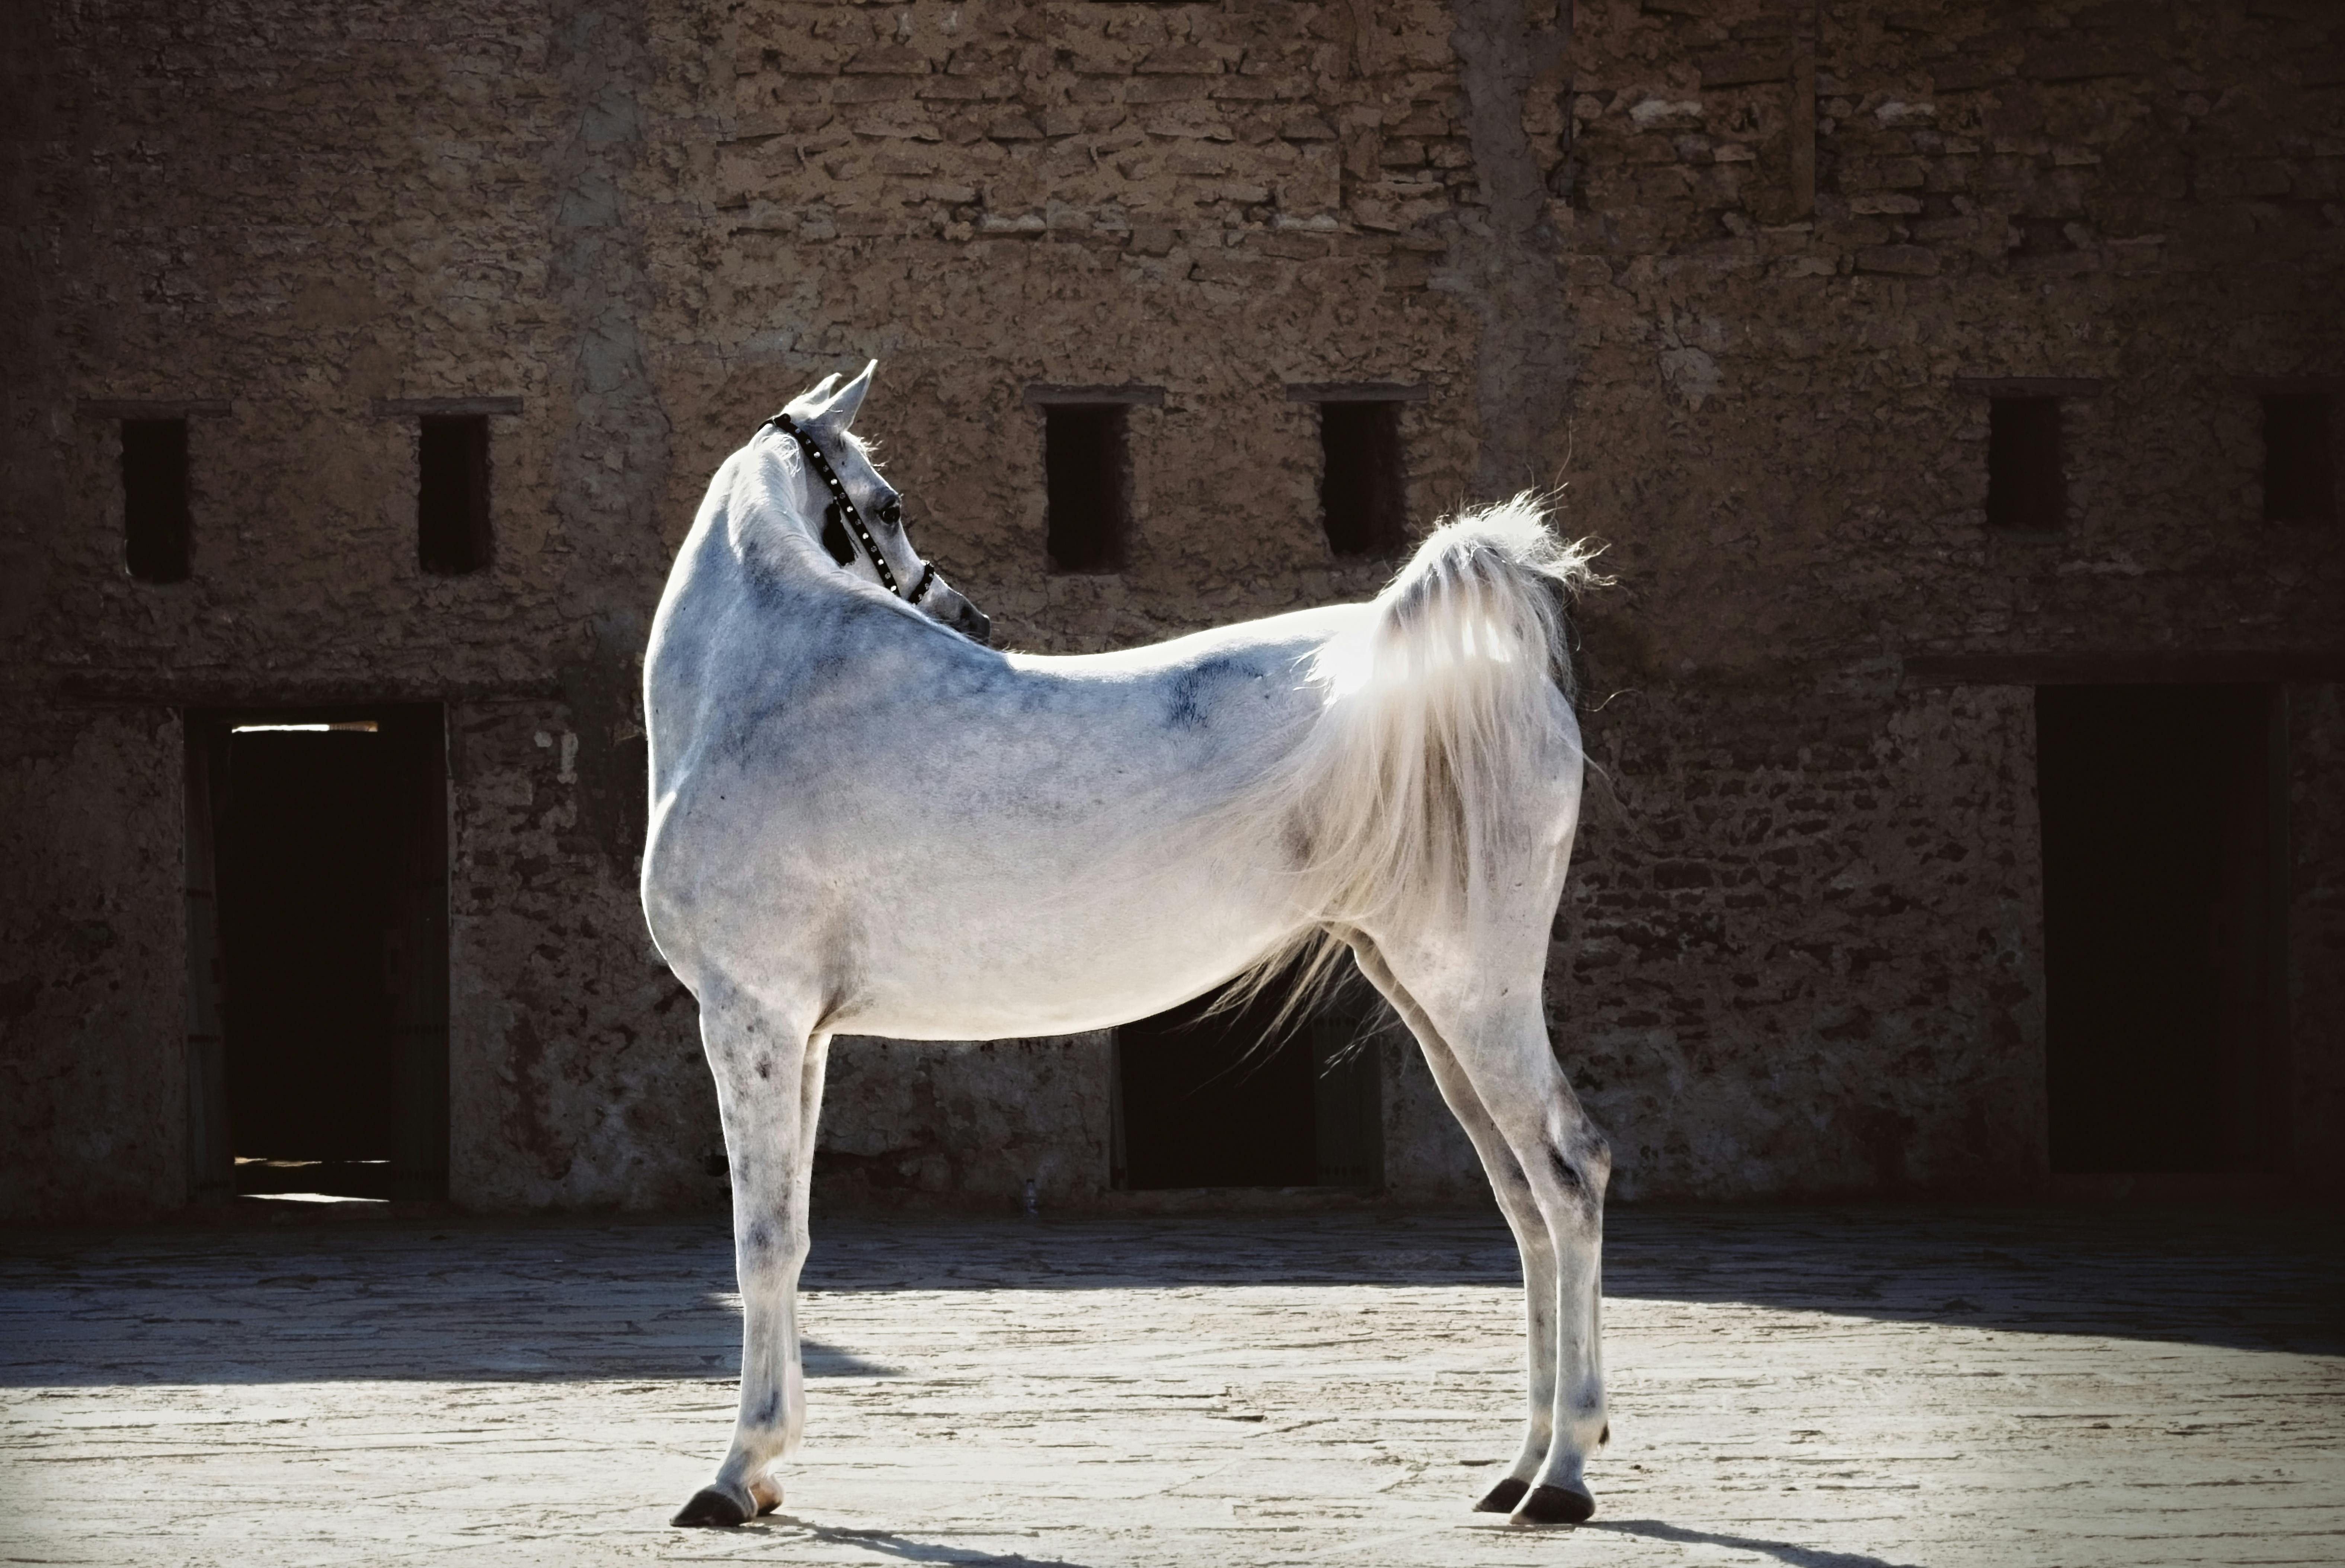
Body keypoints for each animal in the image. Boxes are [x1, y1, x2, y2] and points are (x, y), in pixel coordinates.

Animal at [641, 363, 1613, 1529]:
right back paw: (1519, 1465)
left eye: (888, 502)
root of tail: (1500, 685)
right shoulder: (804, 1035)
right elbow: (792, 1237)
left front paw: (734, 1469)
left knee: (1567, 1174)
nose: (969, 614)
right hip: (1425, 998)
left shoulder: (749, 1017)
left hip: (1475, 990)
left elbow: (762, 1241)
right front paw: (767, 1468)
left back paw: (1563, 1475)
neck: (760, 691)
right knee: (1522, 1199)